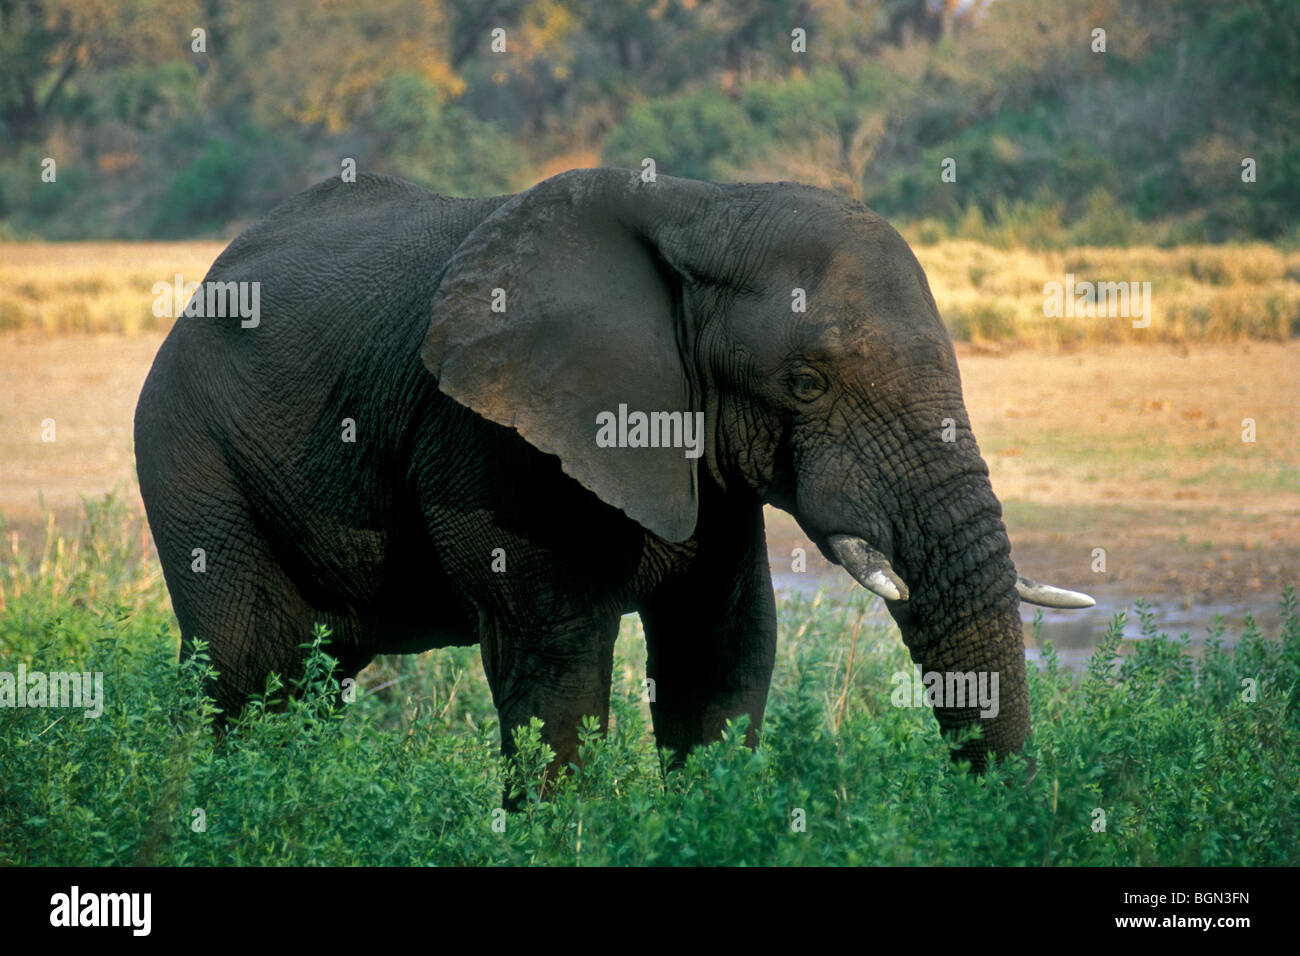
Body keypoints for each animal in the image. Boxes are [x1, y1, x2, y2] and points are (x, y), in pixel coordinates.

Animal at [134, 167, 1086, 796]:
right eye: (806, 383)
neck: (706, 209)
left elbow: (722, 652)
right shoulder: (492, 440)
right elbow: (559, 671)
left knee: (307, 681)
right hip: (190, 452)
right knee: (243, 668)